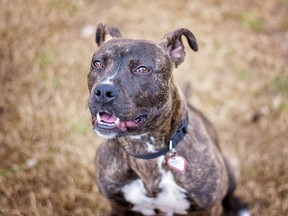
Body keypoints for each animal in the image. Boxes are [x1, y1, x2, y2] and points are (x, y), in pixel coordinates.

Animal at [86, 23, 249, 216]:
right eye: (97, 63)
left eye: (142, 69)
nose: (103, 91)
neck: (143, 149)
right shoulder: (118, 206)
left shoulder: (211, 207)